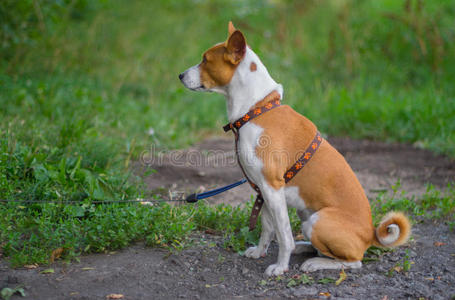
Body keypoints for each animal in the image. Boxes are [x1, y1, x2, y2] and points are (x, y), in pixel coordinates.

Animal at [179, 22, 414, 276]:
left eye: (205, 60)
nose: (180, 75)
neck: (257, 109)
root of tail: (370, 235)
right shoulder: (264, 192)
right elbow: (267, 228)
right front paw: (260, 252)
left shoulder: (272, 188)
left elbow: (283, 236)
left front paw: (281, 267)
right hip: (306, 214)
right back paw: (305, 248)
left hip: (318, 221)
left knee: (353, 261)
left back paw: (315, 263)